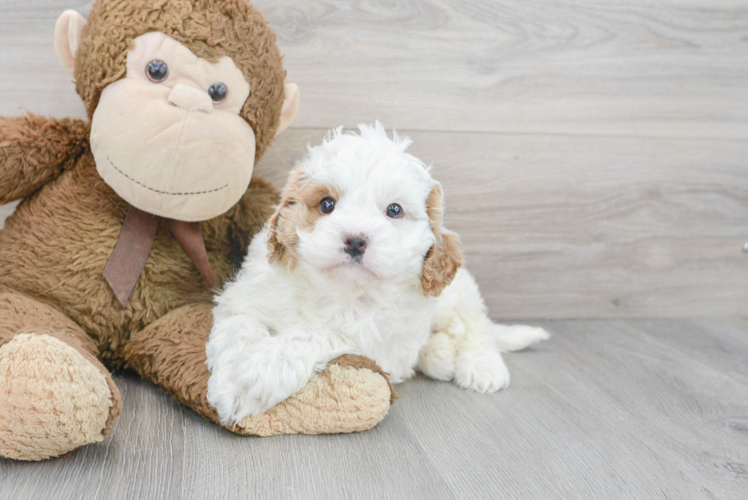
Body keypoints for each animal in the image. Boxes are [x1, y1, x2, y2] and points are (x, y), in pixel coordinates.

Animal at [205, 123, 548, 424]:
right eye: (326, 204)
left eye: (394, 210)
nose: (355, 240)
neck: (338, 289)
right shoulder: (245, 297)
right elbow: (237, 329)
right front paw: (229, 381)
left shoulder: (375, 343)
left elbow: (317, 334)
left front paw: (255, 376)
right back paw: (439, 355)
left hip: (458, 292)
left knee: (476, 325)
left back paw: (483, 368)